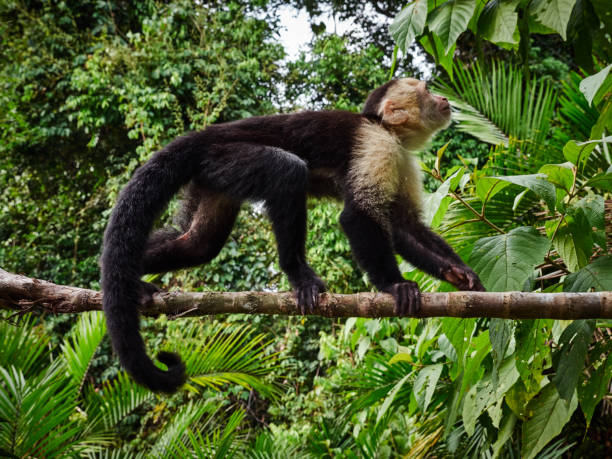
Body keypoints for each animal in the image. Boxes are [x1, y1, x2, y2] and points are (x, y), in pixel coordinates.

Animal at [99, 77, 482, 394]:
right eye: (426, 90)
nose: (443, 98)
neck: (387, 131)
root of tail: (204, 135)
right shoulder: (377, 147)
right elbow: (358, 216)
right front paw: (394, 285)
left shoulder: (401, 157)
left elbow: (404, 227)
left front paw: (458, 273)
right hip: (227, 157)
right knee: (286, 171)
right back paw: (298, 274)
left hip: (212, 177)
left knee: (198, 243)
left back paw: (125, 279)